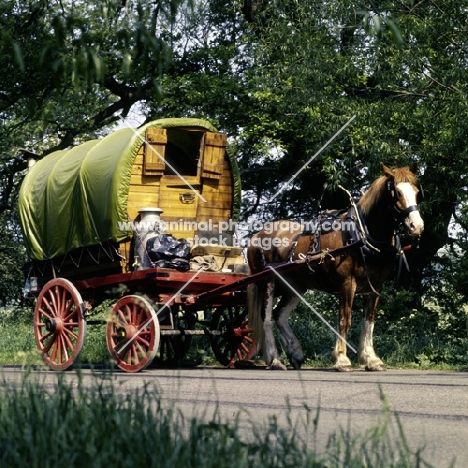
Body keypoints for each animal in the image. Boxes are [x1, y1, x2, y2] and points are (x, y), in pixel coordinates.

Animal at [249, 163, 424, 372]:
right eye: (396, 192)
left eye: (416, 191)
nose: (417, 226)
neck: (360, 235)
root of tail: (257, 235)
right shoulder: (347, 284)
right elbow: (345, 320)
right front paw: (341, 359)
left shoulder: (375, 287)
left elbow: (369, 322)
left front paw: (371, 359)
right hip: (266, 281)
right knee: (266, 319)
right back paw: (274, 359)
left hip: (296, 286)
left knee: (280, 315)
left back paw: (295, 353)